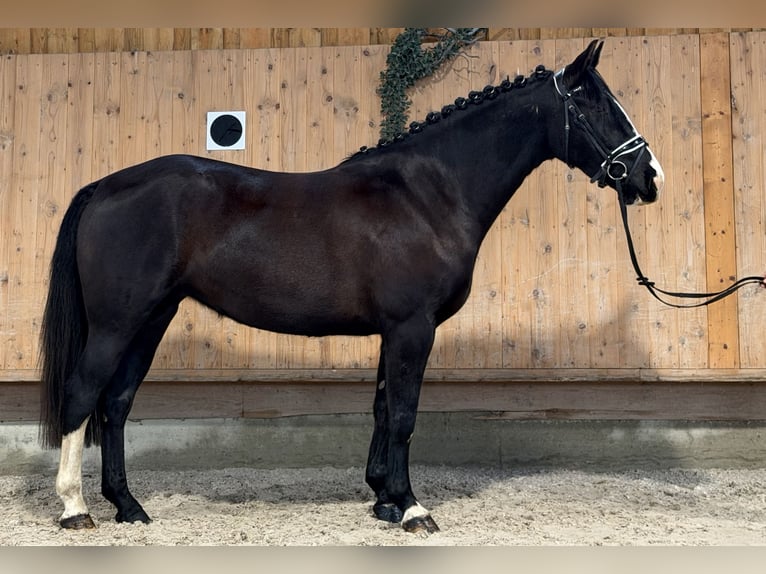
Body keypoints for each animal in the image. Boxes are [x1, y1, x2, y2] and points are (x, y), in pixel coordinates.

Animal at [39, 39, 664, 534]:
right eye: (595, 104)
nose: (649, 176)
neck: (427, 194)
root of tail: (106, 186)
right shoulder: (412, 328)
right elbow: (406, 414)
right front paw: (412, 509)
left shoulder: (396, 331)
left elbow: (385, 408)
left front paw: (384, 499)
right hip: (117, 323)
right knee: (82, 394)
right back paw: (75, 509)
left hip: (152, 319)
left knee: (116, 404)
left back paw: (128, 506)